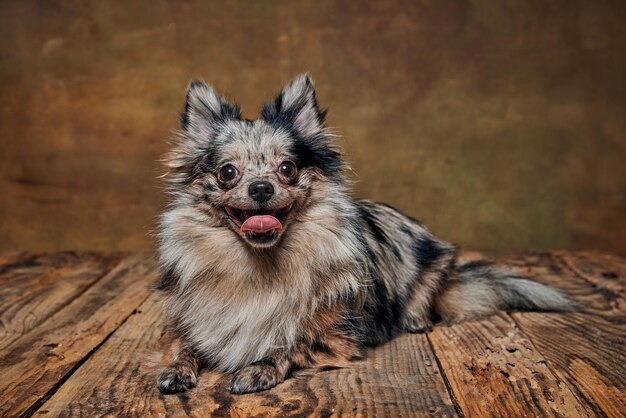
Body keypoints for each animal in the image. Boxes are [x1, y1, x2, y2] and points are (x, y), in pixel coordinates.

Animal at [154, 76, 572, 396]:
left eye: (287, 169)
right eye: (227, 172)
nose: (260, 187)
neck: (258, 265)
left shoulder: (338, 335)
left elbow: (292, 341)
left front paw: (260, 366)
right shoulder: (190, 324)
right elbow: (183, 345)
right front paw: (177, 368)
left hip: (434, 263)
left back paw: (416, 320)